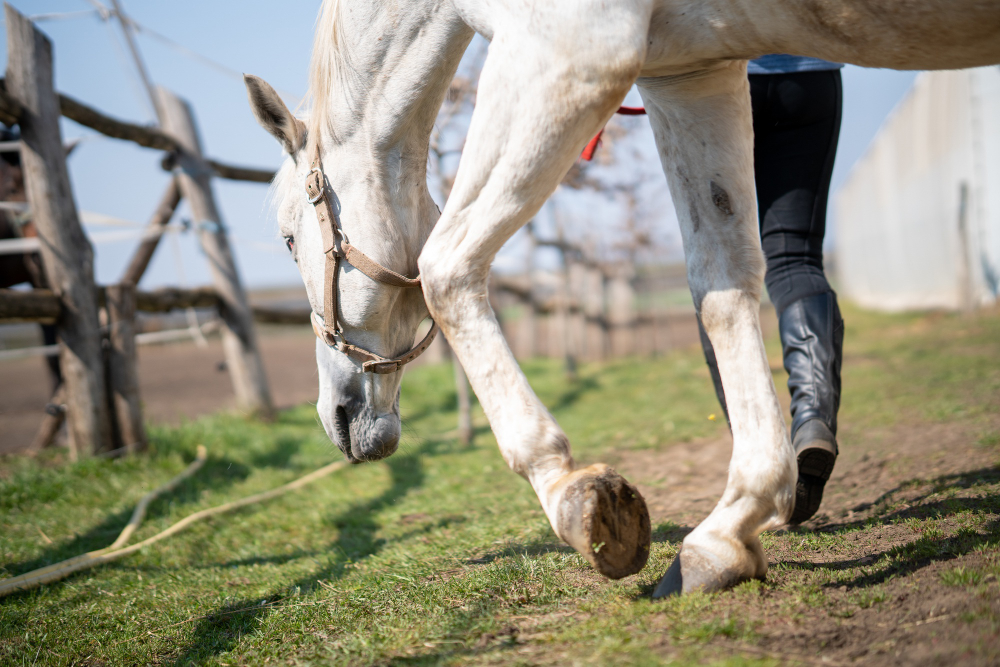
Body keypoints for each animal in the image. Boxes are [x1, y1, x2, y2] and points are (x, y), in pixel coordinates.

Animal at [244, 0, 1000, 595]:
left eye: (287, 236)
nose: (336, 415)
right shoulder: (690, 74)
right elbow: (721, 283)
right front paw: (728, 533)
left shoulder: (567, 51)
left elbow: (446, 266)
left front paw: (572, 493)